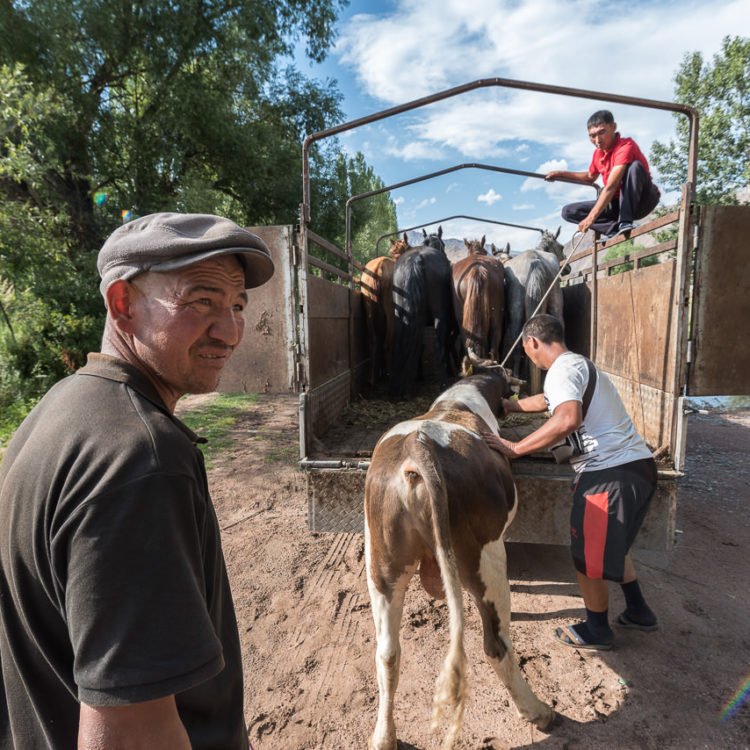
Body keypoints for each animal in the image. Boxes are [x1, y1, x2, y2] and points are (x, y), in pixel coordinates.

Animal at [362, 234, 412, 388]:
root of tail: (377, 270)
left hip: (367, 302)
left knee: (373, 339)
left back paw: (372, 379)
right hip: (391, 307)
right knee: (388, 341)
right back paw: (390, 375)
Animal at [368, 360, 556, 750]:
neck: (461, 398)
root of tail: (418, 446)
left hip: (382, 565)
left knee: (387, 653)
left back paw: (383, 737)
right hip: (485, 557)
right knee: (495, 643)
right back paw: (538, 711)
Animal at [388, 226, 458, 396]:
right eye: (443, 244)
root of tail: (417, 259)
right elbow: (446, 345)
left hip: (401, 315)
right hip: (440, 317)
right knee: (439, 346)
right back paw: (444, 384)